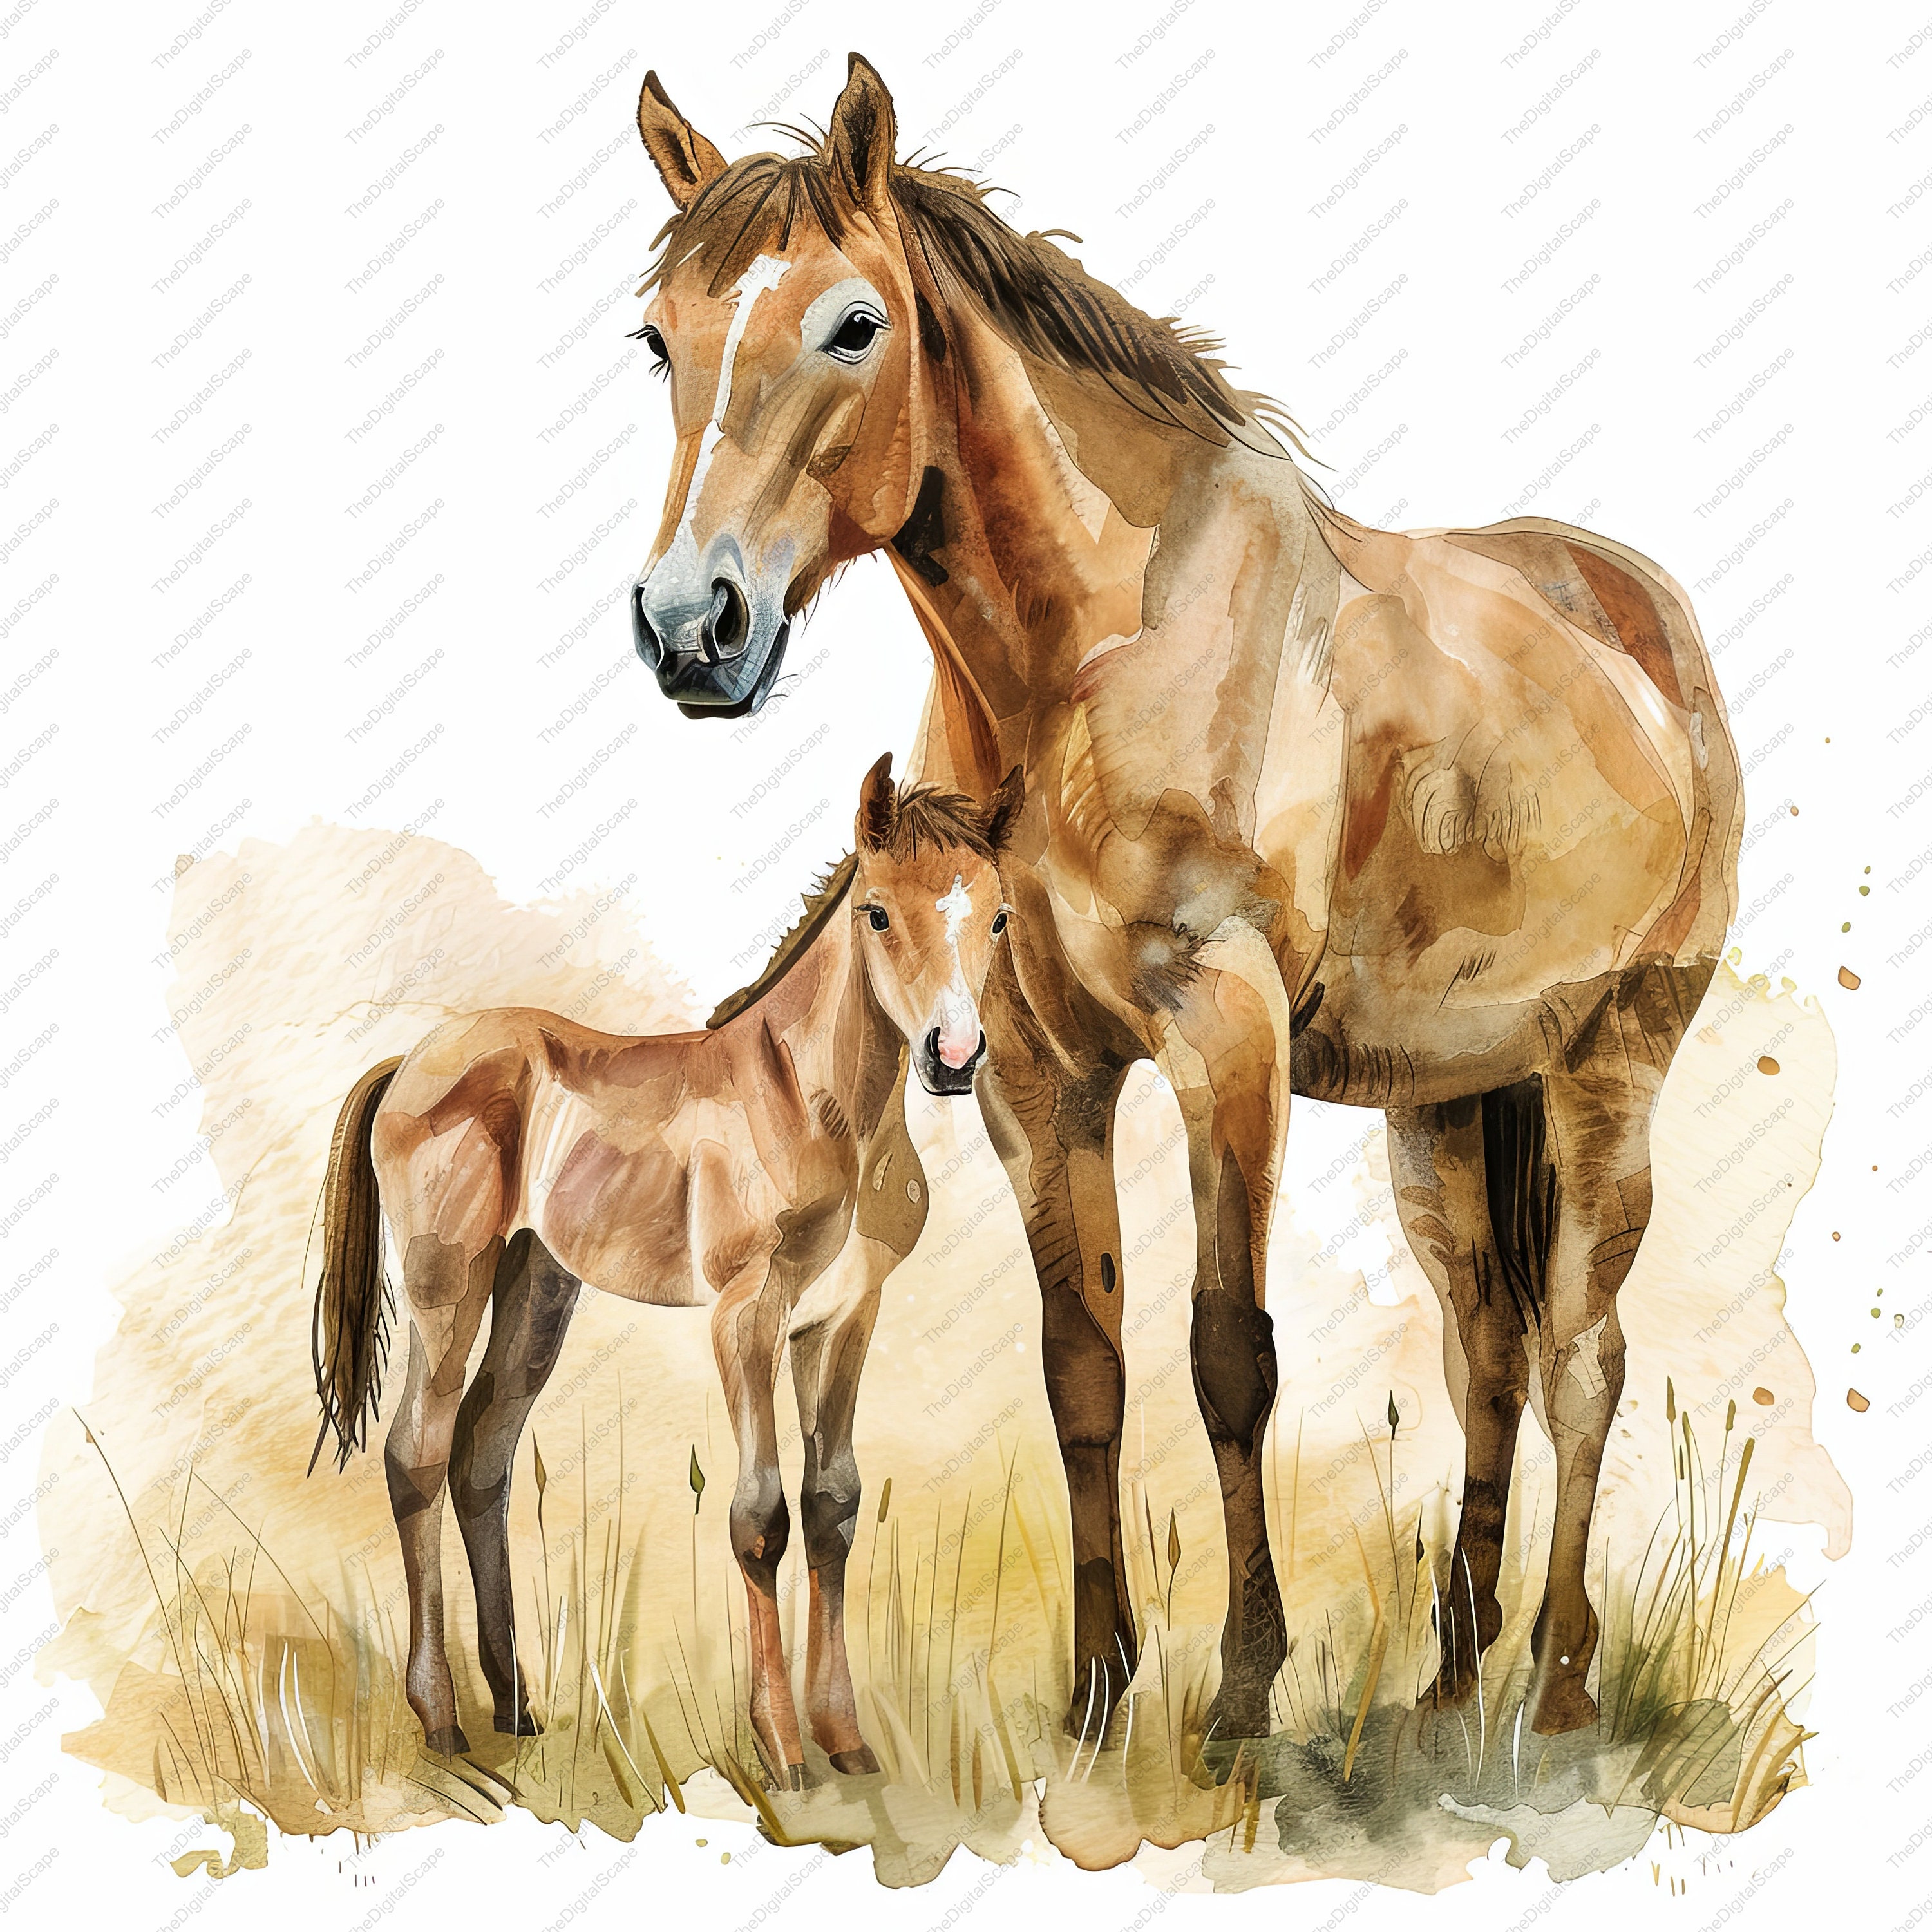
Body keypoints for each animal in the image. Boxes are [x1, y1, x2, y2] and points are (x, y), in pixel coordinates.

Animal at [310, 754, 1020, 1782]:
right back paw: (441, 1721)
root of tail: (411, 1061)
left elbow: (835, 1509)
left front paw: (847, 1741)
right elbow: (761, 1517)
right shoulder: (745, 1318)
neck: (820, 1108)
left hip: (539, 1287)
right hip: (451, 1286)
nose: (954, 1057)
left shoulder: (842, 1319)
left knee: (482, 1455)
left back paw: (516, 1704)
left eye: (1000, 917)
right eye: (878, 913)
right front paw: (782, 1748)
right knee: (418, 1453)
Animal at [624, 57, 1743, 1749]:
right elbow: (1081, 1366)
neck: (1097, 648)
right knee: (1487, 1347)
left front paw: (1240, 1686)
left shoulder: (1227, 1042)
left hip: (1609, 1065)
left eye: (852, 324)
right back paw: (1449, 1677)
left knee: (1583, 1357)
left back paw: (1555, 1684)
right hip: (1449, 1101)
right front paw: (1097, 1687)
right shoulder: (1033, 1074)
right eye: (657, 337)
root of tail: (1641, 617)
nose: (692, 626)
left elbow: (1230, 1357)